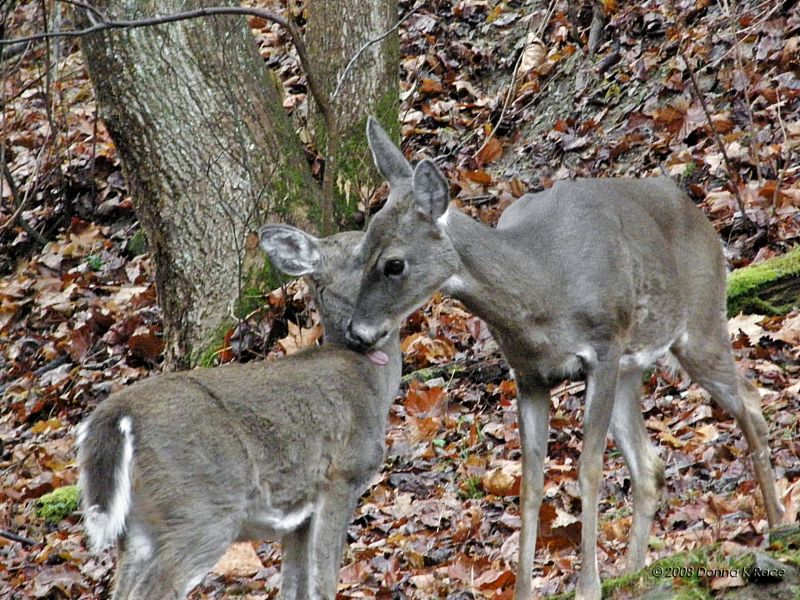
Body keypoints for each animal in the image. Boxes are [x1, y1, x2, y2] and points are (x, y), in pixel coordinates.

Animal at [75, 226, 400, 600]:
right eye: (364, 251)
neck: (371, 381)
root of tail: (117, 413)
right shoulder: (341, 476)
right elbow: (323, 581)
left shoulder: (299, 516)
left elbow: (294, 587)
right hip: (201, 506)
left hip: (141, 521)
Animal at [346, 117, 784, 600]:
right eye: (358, 254)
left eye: (394, 264)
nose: (356, 333)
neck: (543, 288)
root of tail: (699, 214)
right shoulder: (529, 376)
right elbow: (530, 484)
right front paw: (525, 590)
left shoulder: (603, 350)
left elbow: (588, 469)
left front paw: (588, 585)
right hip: (634, 365)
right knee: (650, 464)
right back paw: (634, 572)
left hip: (700, 322)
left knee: (749, 401)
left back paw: (777, 528)